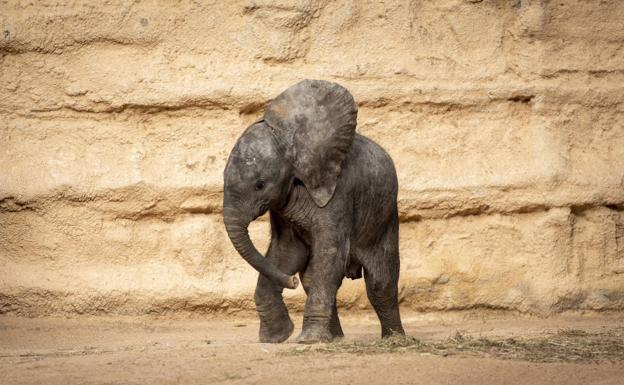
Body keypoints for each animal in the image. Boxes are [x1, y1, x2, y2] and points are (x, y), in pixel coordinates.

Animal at [223, 79, 404, 342]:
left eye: (260, 185)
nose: (291, 282)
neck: (290, 140)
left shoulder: (339, 191)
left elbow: (330, 253)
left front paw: (307, 340)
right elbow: (286, 252)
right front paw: (276, 337)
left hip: (385, 216)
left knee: (381, 282)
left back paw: (395, 339)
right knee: (312, 278)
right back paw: (335, 339)